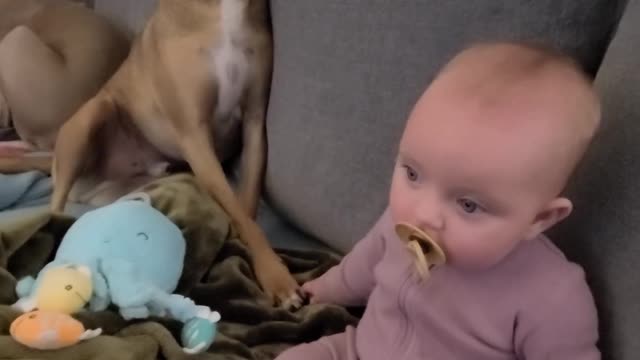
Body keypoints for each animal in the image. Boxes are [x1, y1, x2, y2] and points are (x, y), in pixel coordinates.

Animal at [48, 0, 304, 308]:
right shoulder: (194, 134)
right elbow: (240, 212)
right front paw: (277, 278)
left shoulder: (254, 122)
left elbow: (248, 206)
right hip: (92, 114)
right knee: (54, 203)